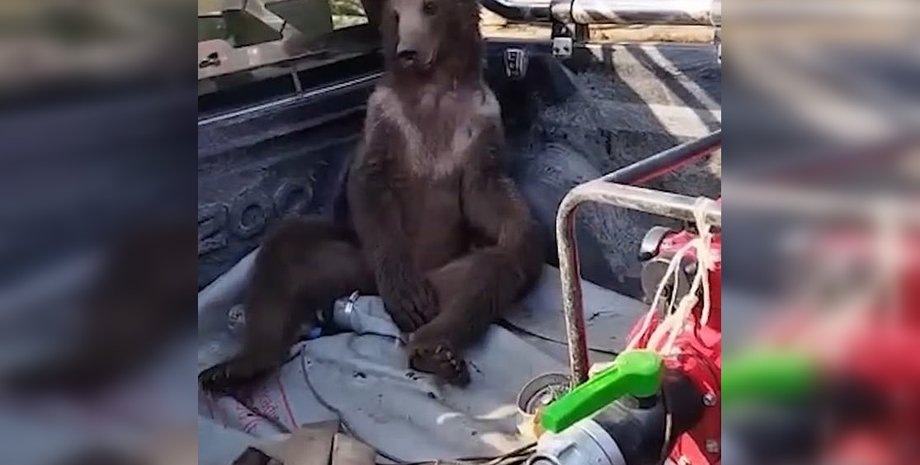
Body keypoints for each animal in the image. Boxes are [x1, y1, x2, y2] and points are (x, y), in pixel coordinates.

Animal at [198, 0, 543, 391]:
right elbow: (371, 185)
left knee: (491, 274)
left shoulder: (478, 120)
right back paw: (237, 366)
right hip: (356, 264)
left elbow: (484, 189)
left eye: (430, 8)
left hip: (451, 273)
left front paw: (517, 223)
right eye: (395, 13)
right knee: (284, 254)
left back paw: (435, 350)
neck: (433, 88)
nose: (408, 51)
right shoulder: (386, 117)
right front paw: (405, 292)